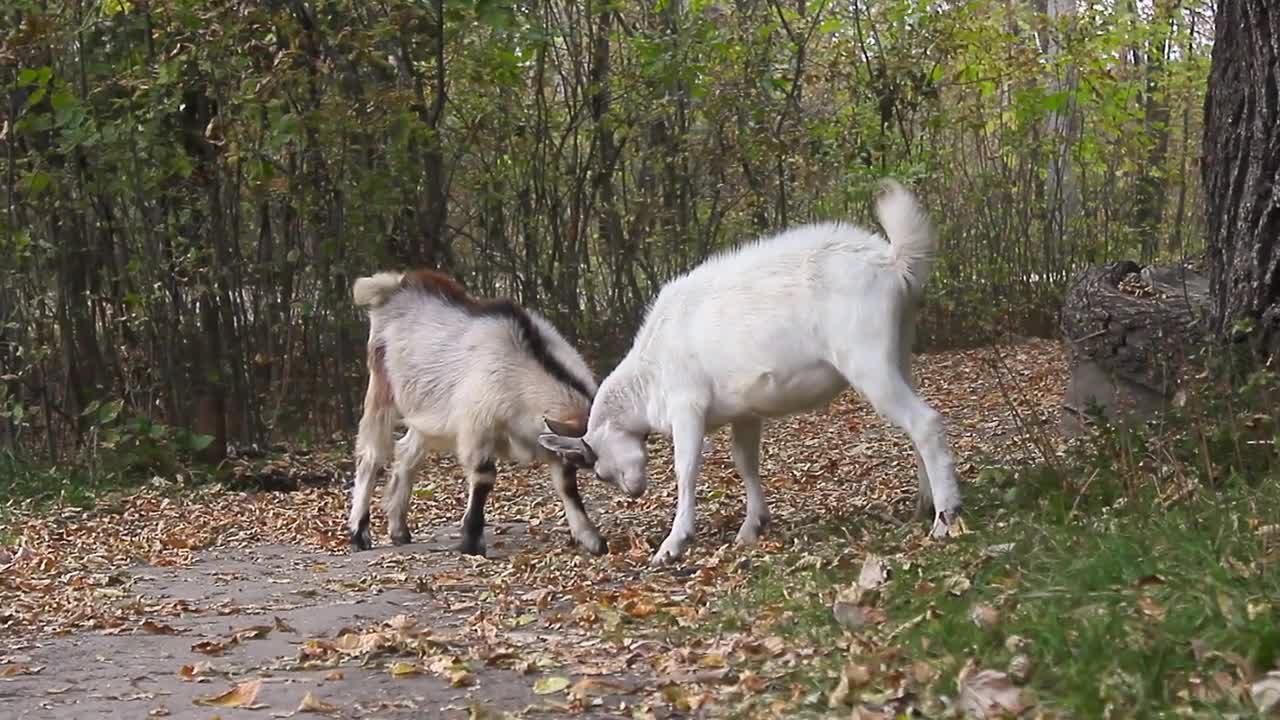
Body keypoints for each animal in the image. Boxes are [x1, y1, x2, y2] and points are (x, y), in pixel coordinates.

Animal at [348, 269, 606, 556]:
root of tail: (395, 285)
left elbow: (566, 484)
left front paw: (590, 538)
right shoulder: (477, 426)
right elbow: (484, 476)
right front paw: (471, 540)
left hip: (428, 410)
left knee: (407, 452)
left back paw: (398, 528)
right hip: (382, 385)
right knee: (371, 455)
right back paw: (359, 532)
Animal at [537, 178, 962, 561]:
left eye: (600, 471)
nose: (633, 491)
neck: (648, 377)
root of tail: (892, 263)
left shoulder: (686, 404)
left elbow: (685, 468)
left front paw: (673, 544)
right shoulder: (743, 411)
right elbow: (745, 462)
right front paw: (751, 527)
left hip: (867, 359)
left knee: (924, 421)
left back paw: (945, 518)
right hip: (899, 351)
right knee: (914, 425)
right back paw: (923, 506)